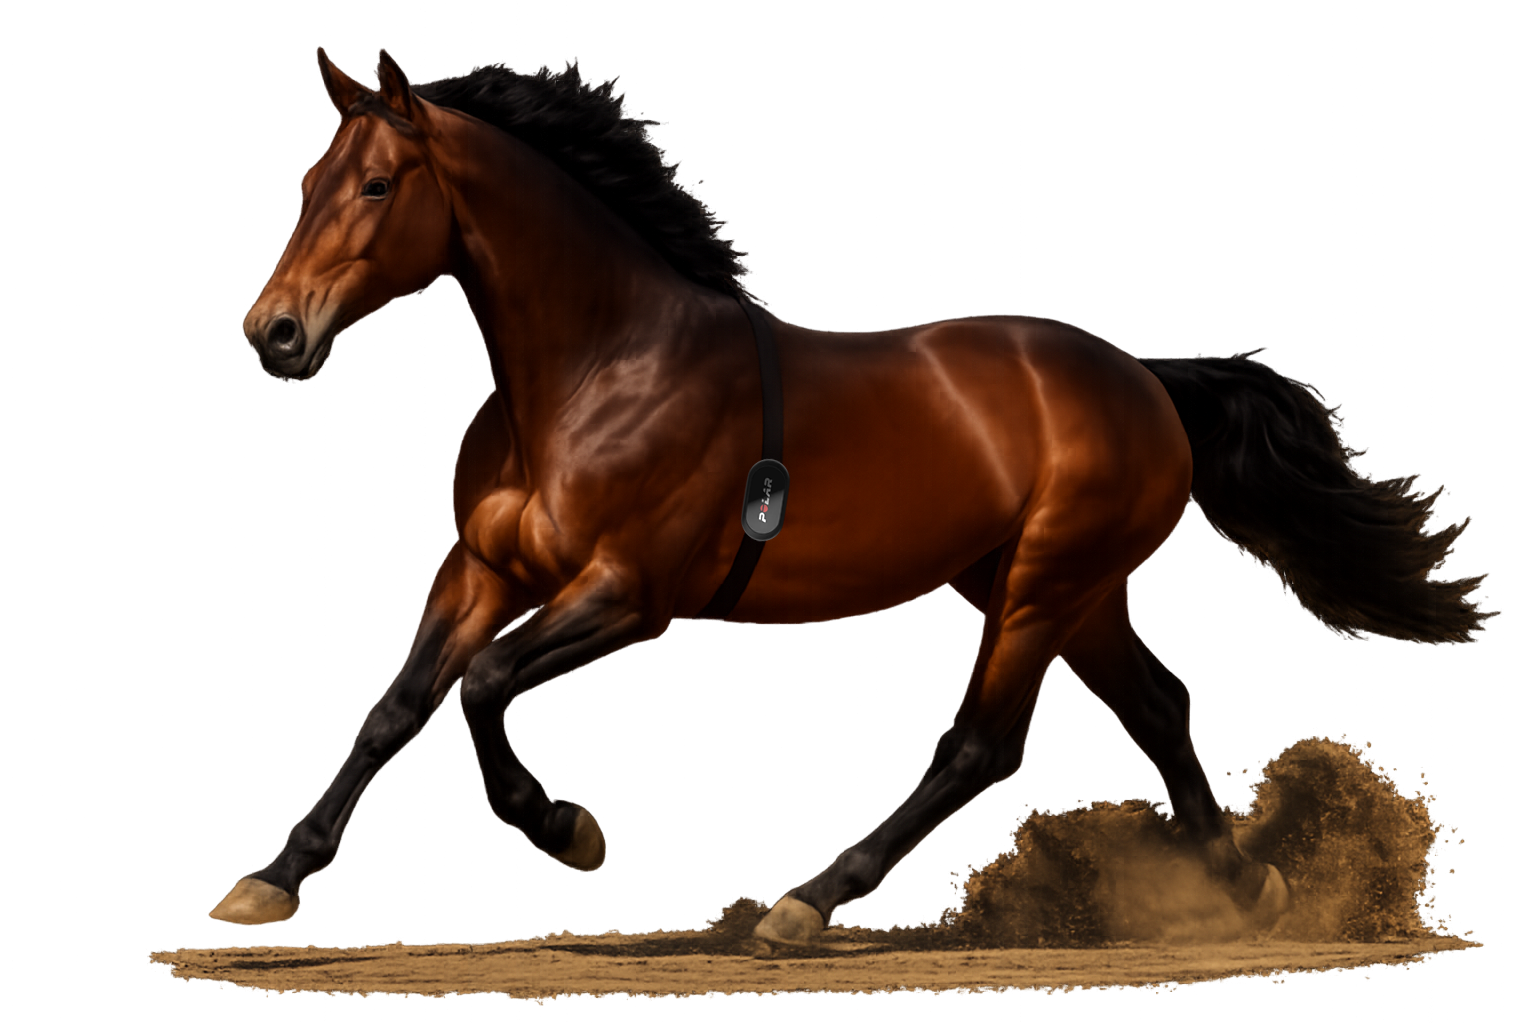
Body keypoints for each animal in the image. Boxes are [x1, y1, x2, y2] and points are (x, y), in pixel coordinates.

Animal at [208, 46, 1498, 945]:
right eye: (309, 179)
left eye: (379, 185)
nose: (275, 335)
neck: (596, 370)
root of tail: (1144, 378)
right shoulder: (483, 568)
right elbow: (398, 706)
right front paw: (269, 879)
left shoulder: (628, 595)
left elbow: (479, 687)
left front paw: (571, 831)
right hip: (1055, 587)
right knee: (1158, 707)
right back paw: (1247, 886)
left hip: (1042, 585)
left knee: (981, 745)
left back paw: (806, 900)